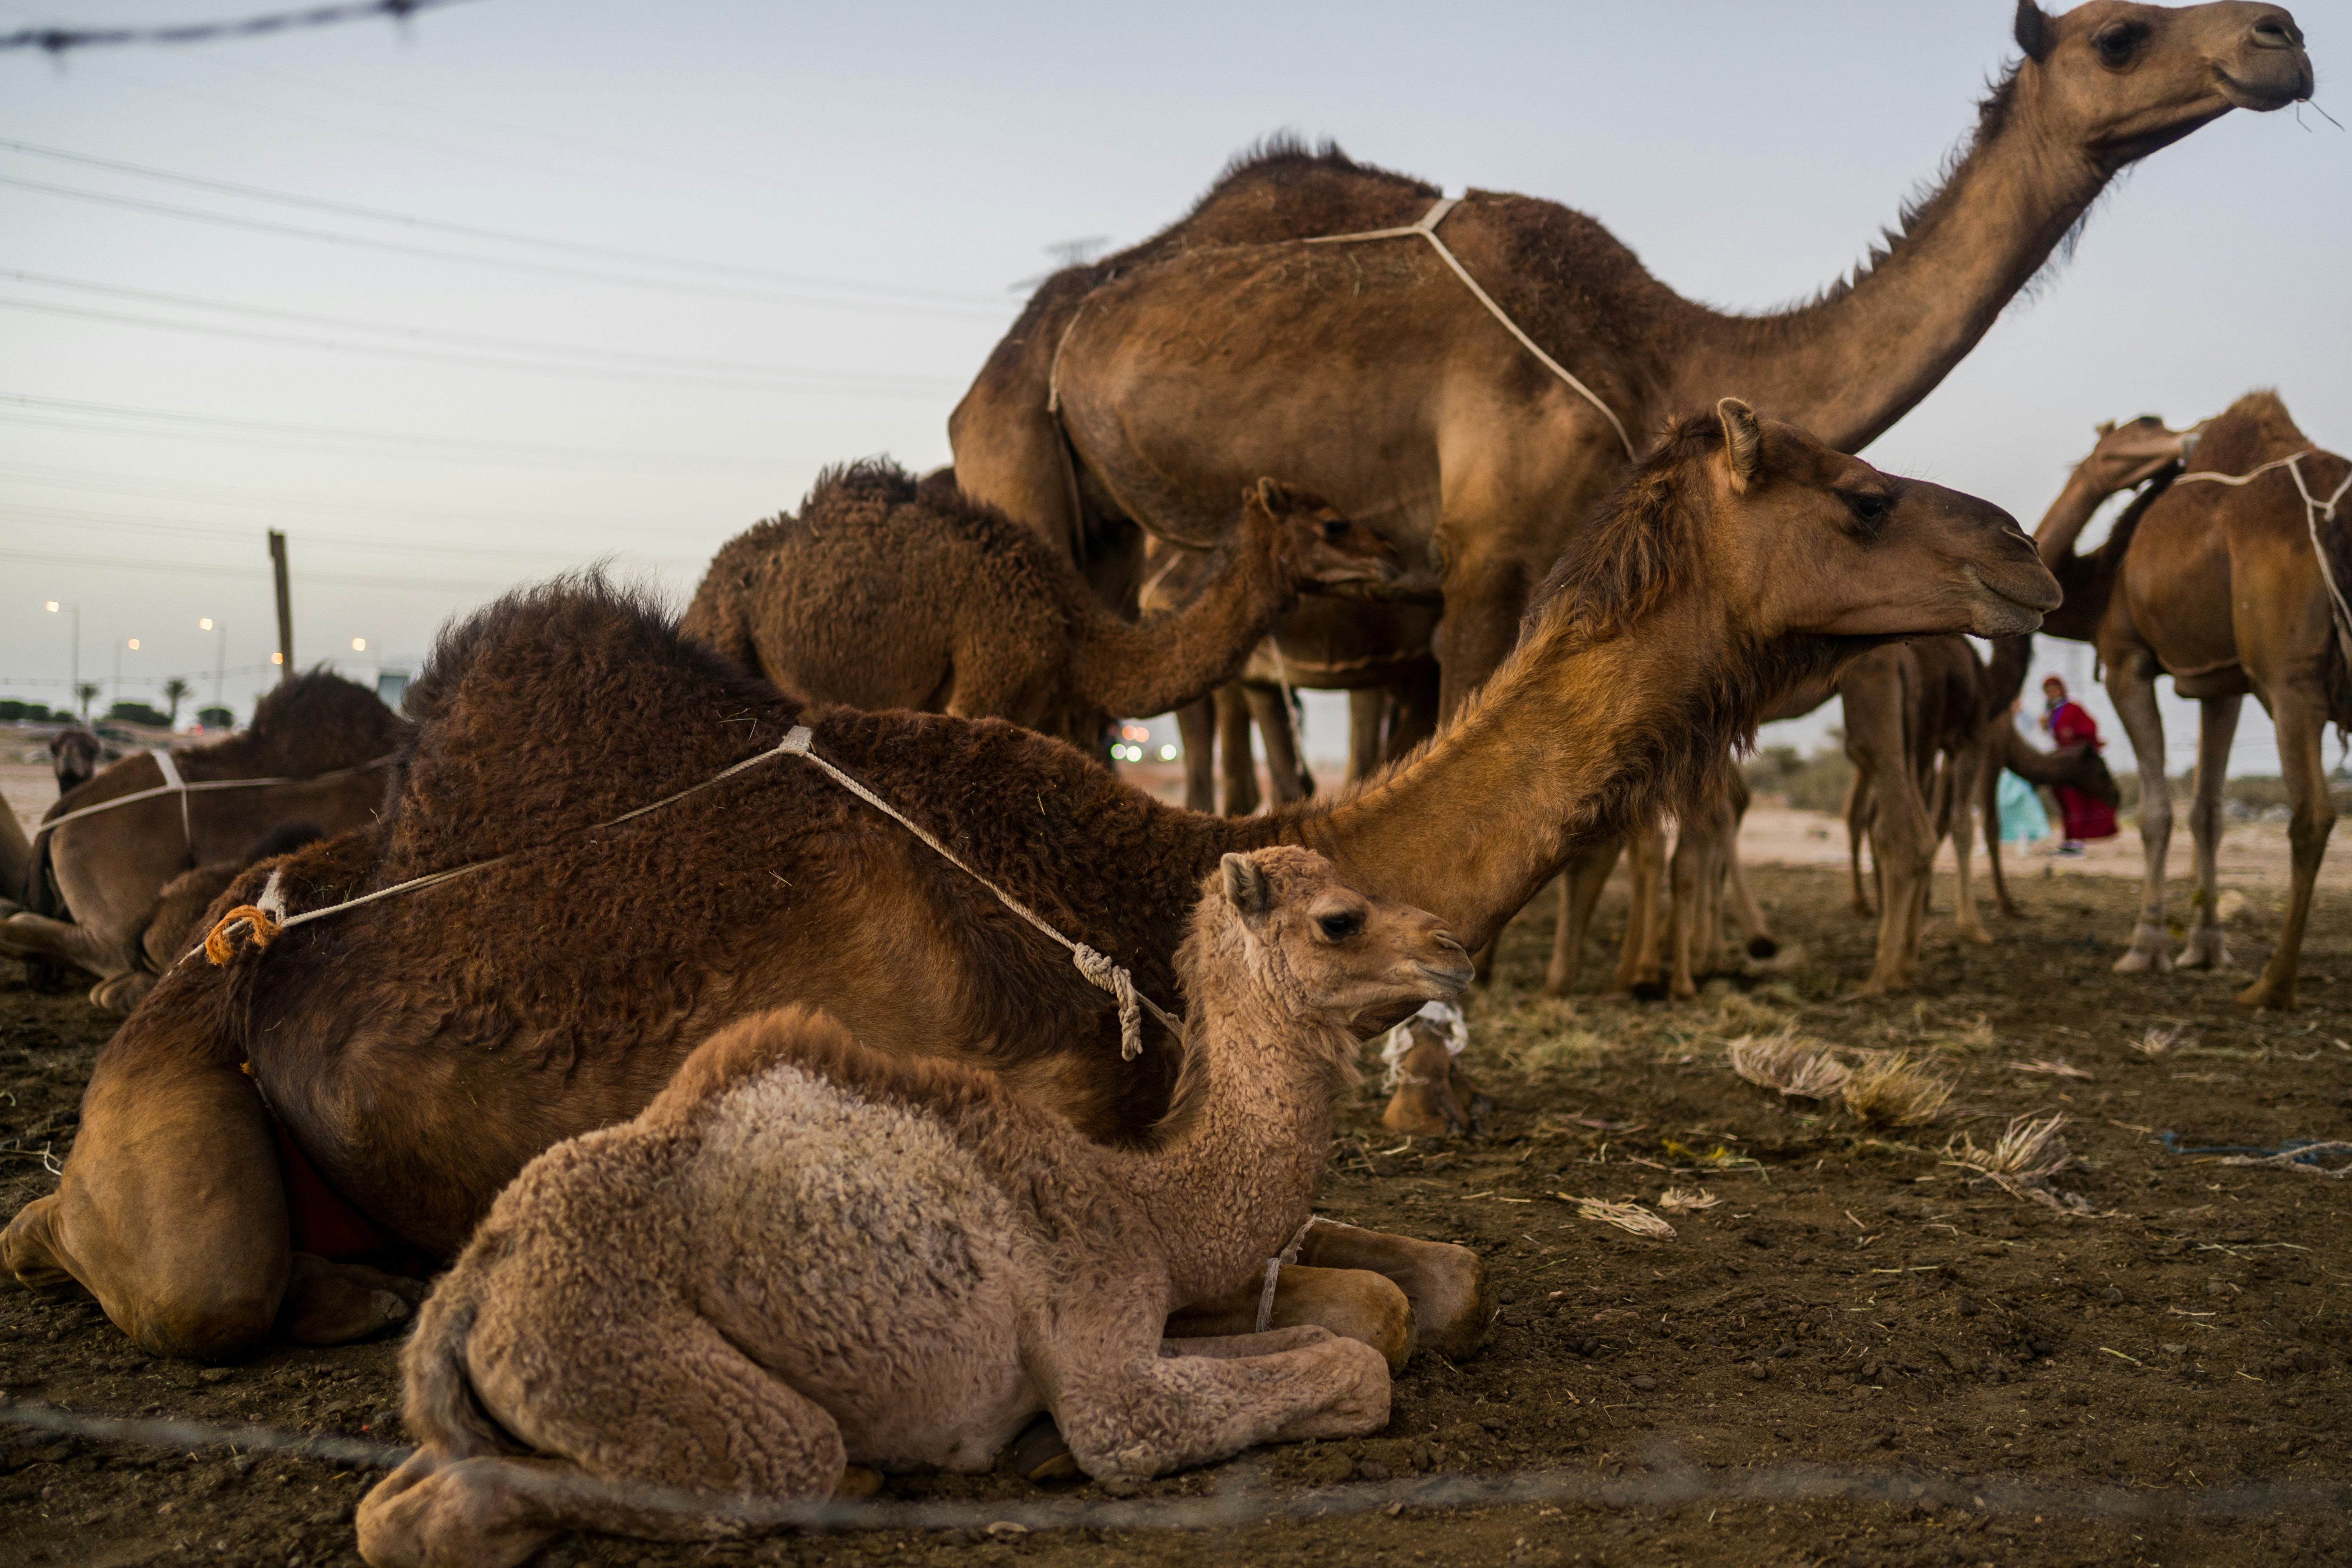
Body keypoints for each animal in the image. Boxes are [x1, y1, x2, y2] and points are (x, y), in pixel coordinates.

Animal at [355, 848, 1468, 1563]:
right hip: (628, 1354)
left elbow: (1339, 1346)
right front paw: (1048, 1457)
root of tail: (474, 1286)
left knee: (398, 1497)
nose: (1453, 947)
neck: (1148, 1206)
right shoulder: (1105, 1351)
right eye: (1339, 918)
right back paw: (858, 1482)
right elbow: (1338, 1374)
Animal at [680, 463, 1398, 755]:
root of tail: (709, 583)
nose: (1392, 555)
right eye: (1334, 525)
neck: (1071, 629)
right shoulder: (986, 686)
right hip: (728, 638)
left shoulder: (1046, 710)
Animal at [949, 3, 2308, 728]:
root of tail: (1028, 339)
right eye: (2120, 35)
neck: (1660, 349)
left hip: (1106, 523)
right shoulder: (1485, 554)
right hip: (1009, 453)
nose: (2279, 36)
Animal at [2030, 392, 2351, 1007]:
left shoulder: (2125, 660)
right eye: (2146, 424)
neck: (2094, 583)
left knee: (2313, 813)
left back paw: (2272, 985)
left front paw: (2146, 948)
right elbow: (2209, 811)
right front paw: (2205, 948)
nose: (2191, 436)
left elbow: (2155, 812)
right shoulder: (2220, 679)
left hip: (2290, 681)